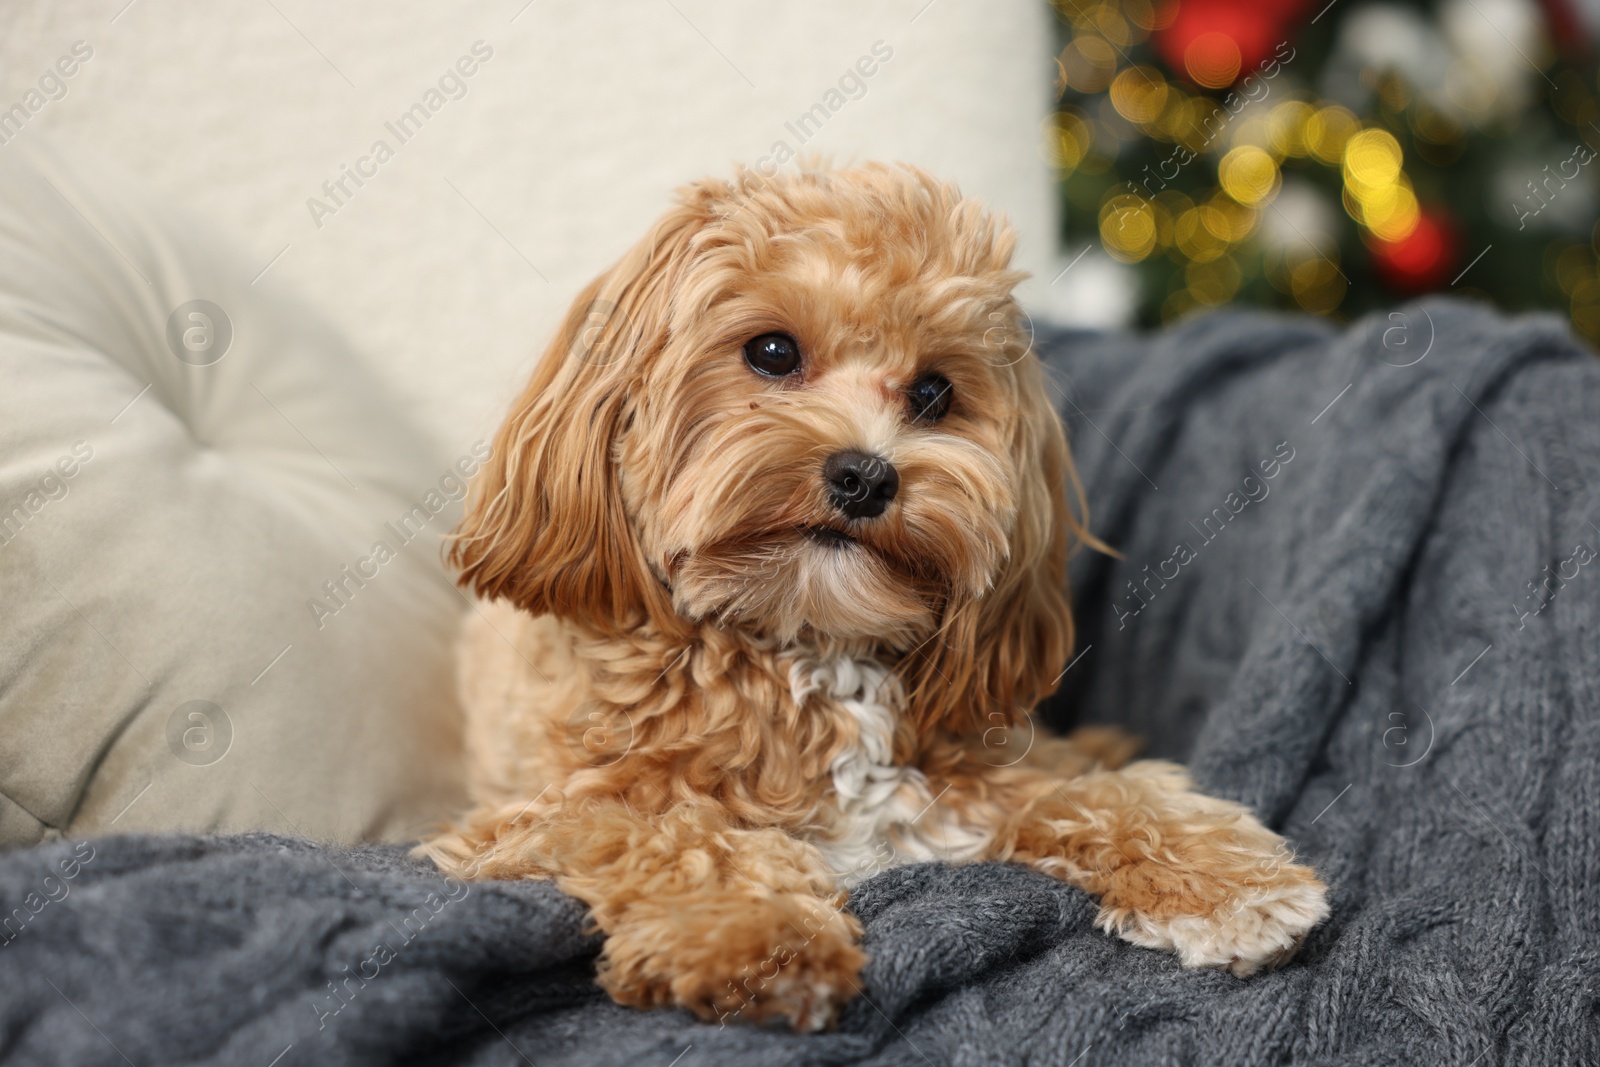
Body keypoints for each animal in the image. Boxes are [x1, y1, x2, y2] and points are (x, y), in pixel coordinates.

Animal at [419, 163, 1331, 1030]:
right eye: (773, 351)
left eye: (933, 392)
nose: (865, 475)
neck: (813, 644)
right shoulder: (538, 816)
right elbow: (676, 830)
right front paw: (758, 937)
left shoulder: (979, 765)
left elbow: (1103, 789)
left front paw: (1225, 878)